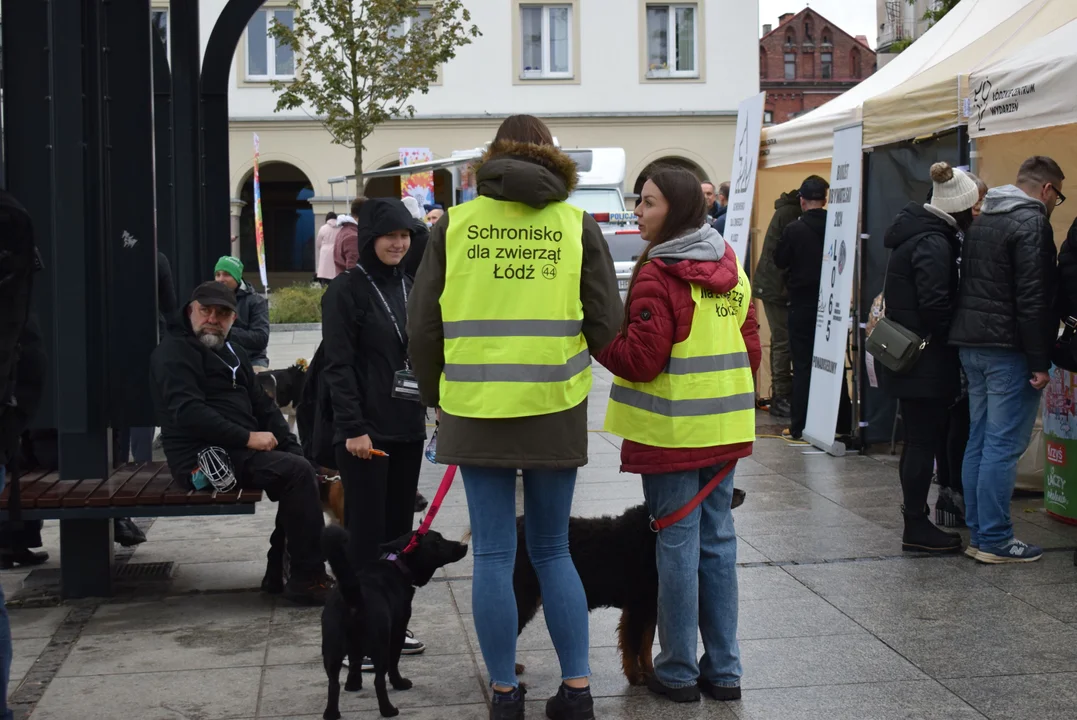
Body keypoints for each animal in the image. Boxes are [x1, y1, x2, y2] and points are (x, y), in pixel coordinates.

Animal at [512, 486, 749, 684]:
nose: (743, 493)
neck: (654, 533)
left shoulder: (648, 606)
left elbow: (644, 645)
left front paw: (650, 673)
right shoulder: (638, 606)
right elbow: (633, 644)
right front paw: (636, 677)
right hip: (522, 596)